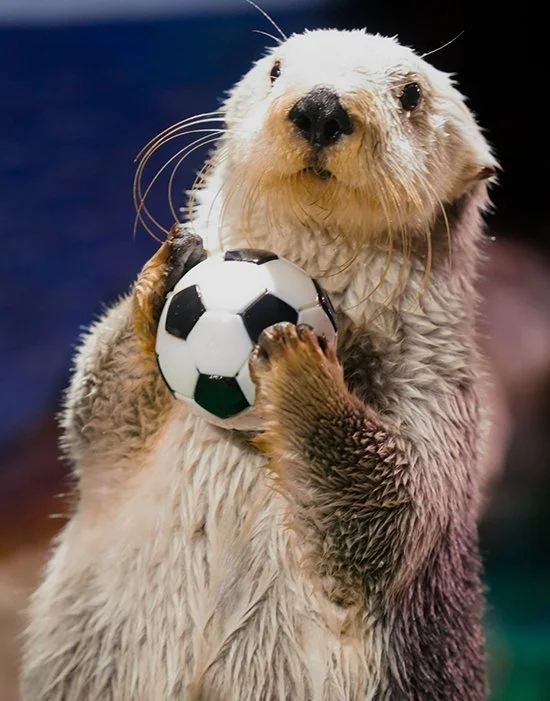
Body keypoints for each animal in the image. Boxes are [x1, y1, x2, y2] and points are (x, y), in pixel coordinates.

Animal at [22, 28, 498, 701]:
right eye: (276, 69)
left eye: (410, 93)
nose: (320, 106)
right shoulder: (110, 446)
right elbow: (93, 407)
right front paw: (167, 271)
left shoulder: (438, 399)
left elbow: (389, 508)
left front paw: (298, 359)